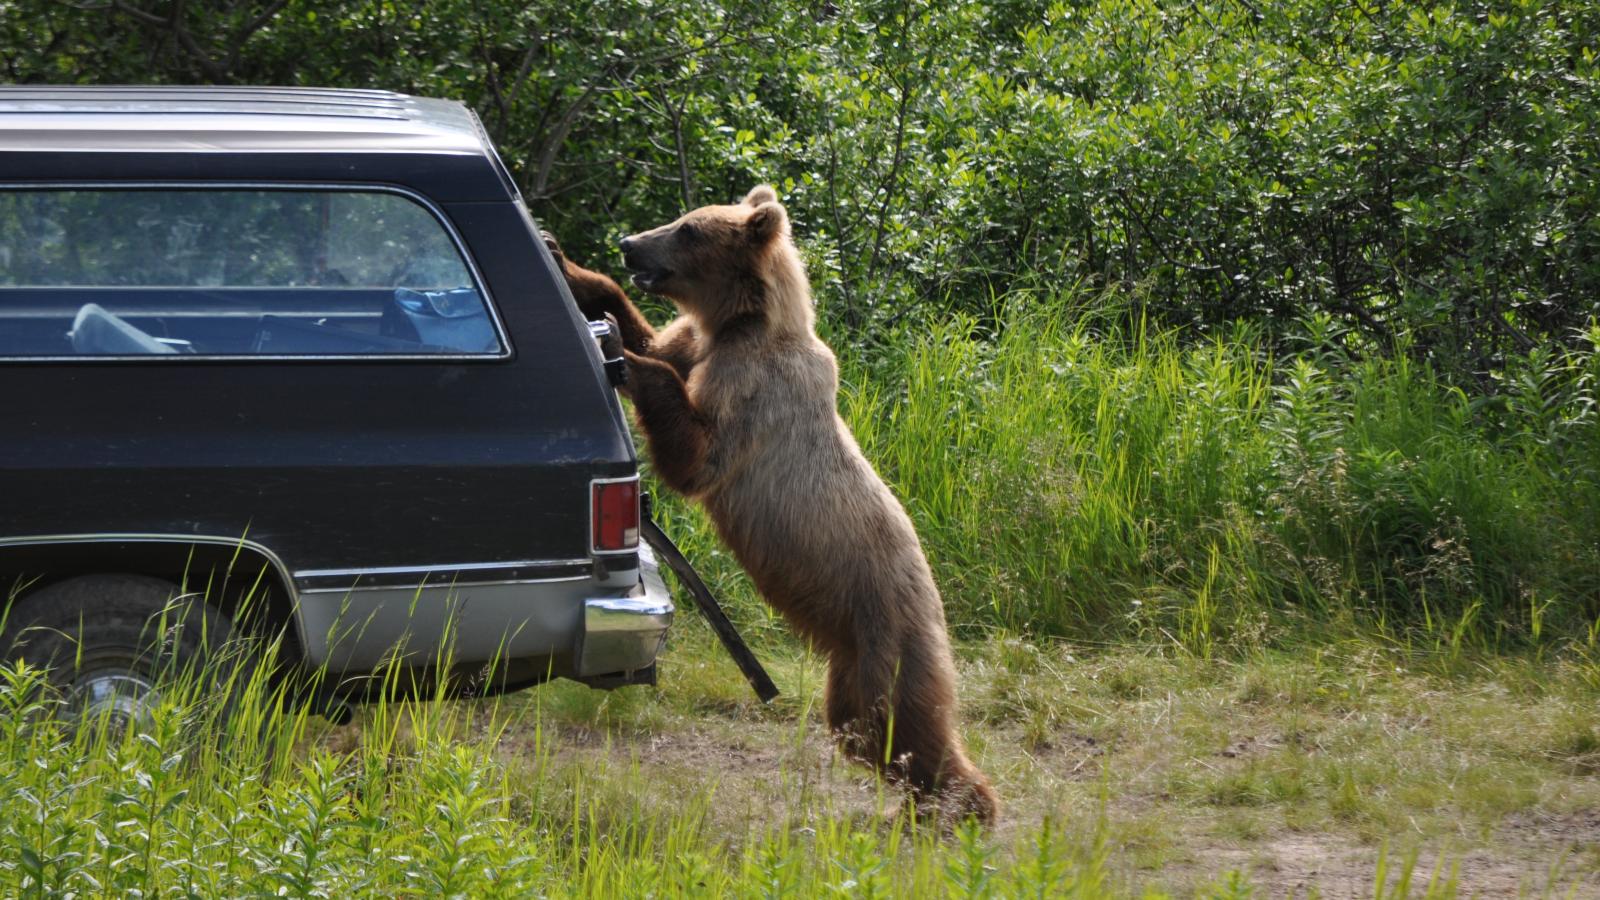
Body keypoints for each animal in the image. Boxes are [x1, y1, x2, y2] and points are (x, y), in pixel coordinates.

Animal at [550, 184, 998, 819]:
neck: (743, 325)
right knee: (864, 732)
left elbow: (697, 454)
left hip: (887, 636)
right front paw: (570, 265)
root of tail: (940, 613)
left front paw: (623, 354)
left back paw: (968, 808)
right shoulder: (699, 344)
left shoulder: (755, 393)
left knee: (901, 728)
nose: (630, 243)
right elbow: (657, 336)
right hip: (852, 663)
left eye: (688, 229)